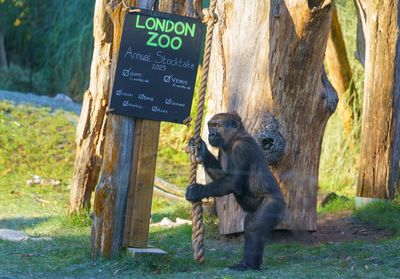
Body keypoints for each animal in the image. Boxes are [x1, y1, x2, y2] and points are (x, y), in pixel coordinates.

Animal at [186, 111, 286, 272]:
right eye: (210, 125)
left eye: (217, 125)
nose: (211, 133)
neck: (235, 137)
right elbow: (222, 176)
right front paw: (202, 149)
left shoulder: (241, 148)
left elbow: (232, 182)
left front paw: (197, 191)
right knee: (251, 221)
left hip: (277, 206)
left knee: (254, 227)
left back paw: (249, 265)